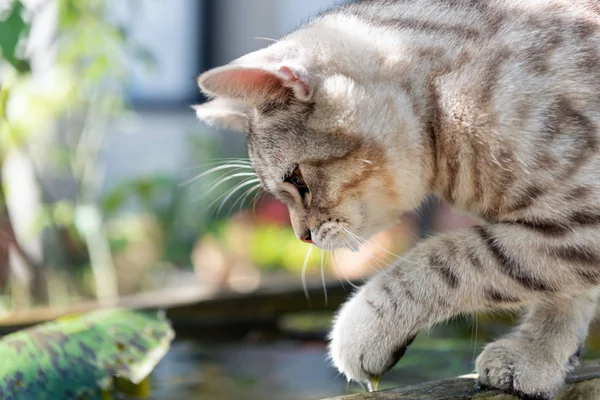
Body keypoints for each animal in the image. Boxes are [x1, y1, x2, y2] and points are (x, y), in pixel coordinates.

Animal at [192, 1, 600, 398]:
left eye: (297, 179)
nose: (302, 236)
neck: (451, 103)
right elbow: (565, 293)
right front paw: (539, 356)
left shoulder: (577, 224)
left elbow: (451, 259)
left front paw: (362, 330)